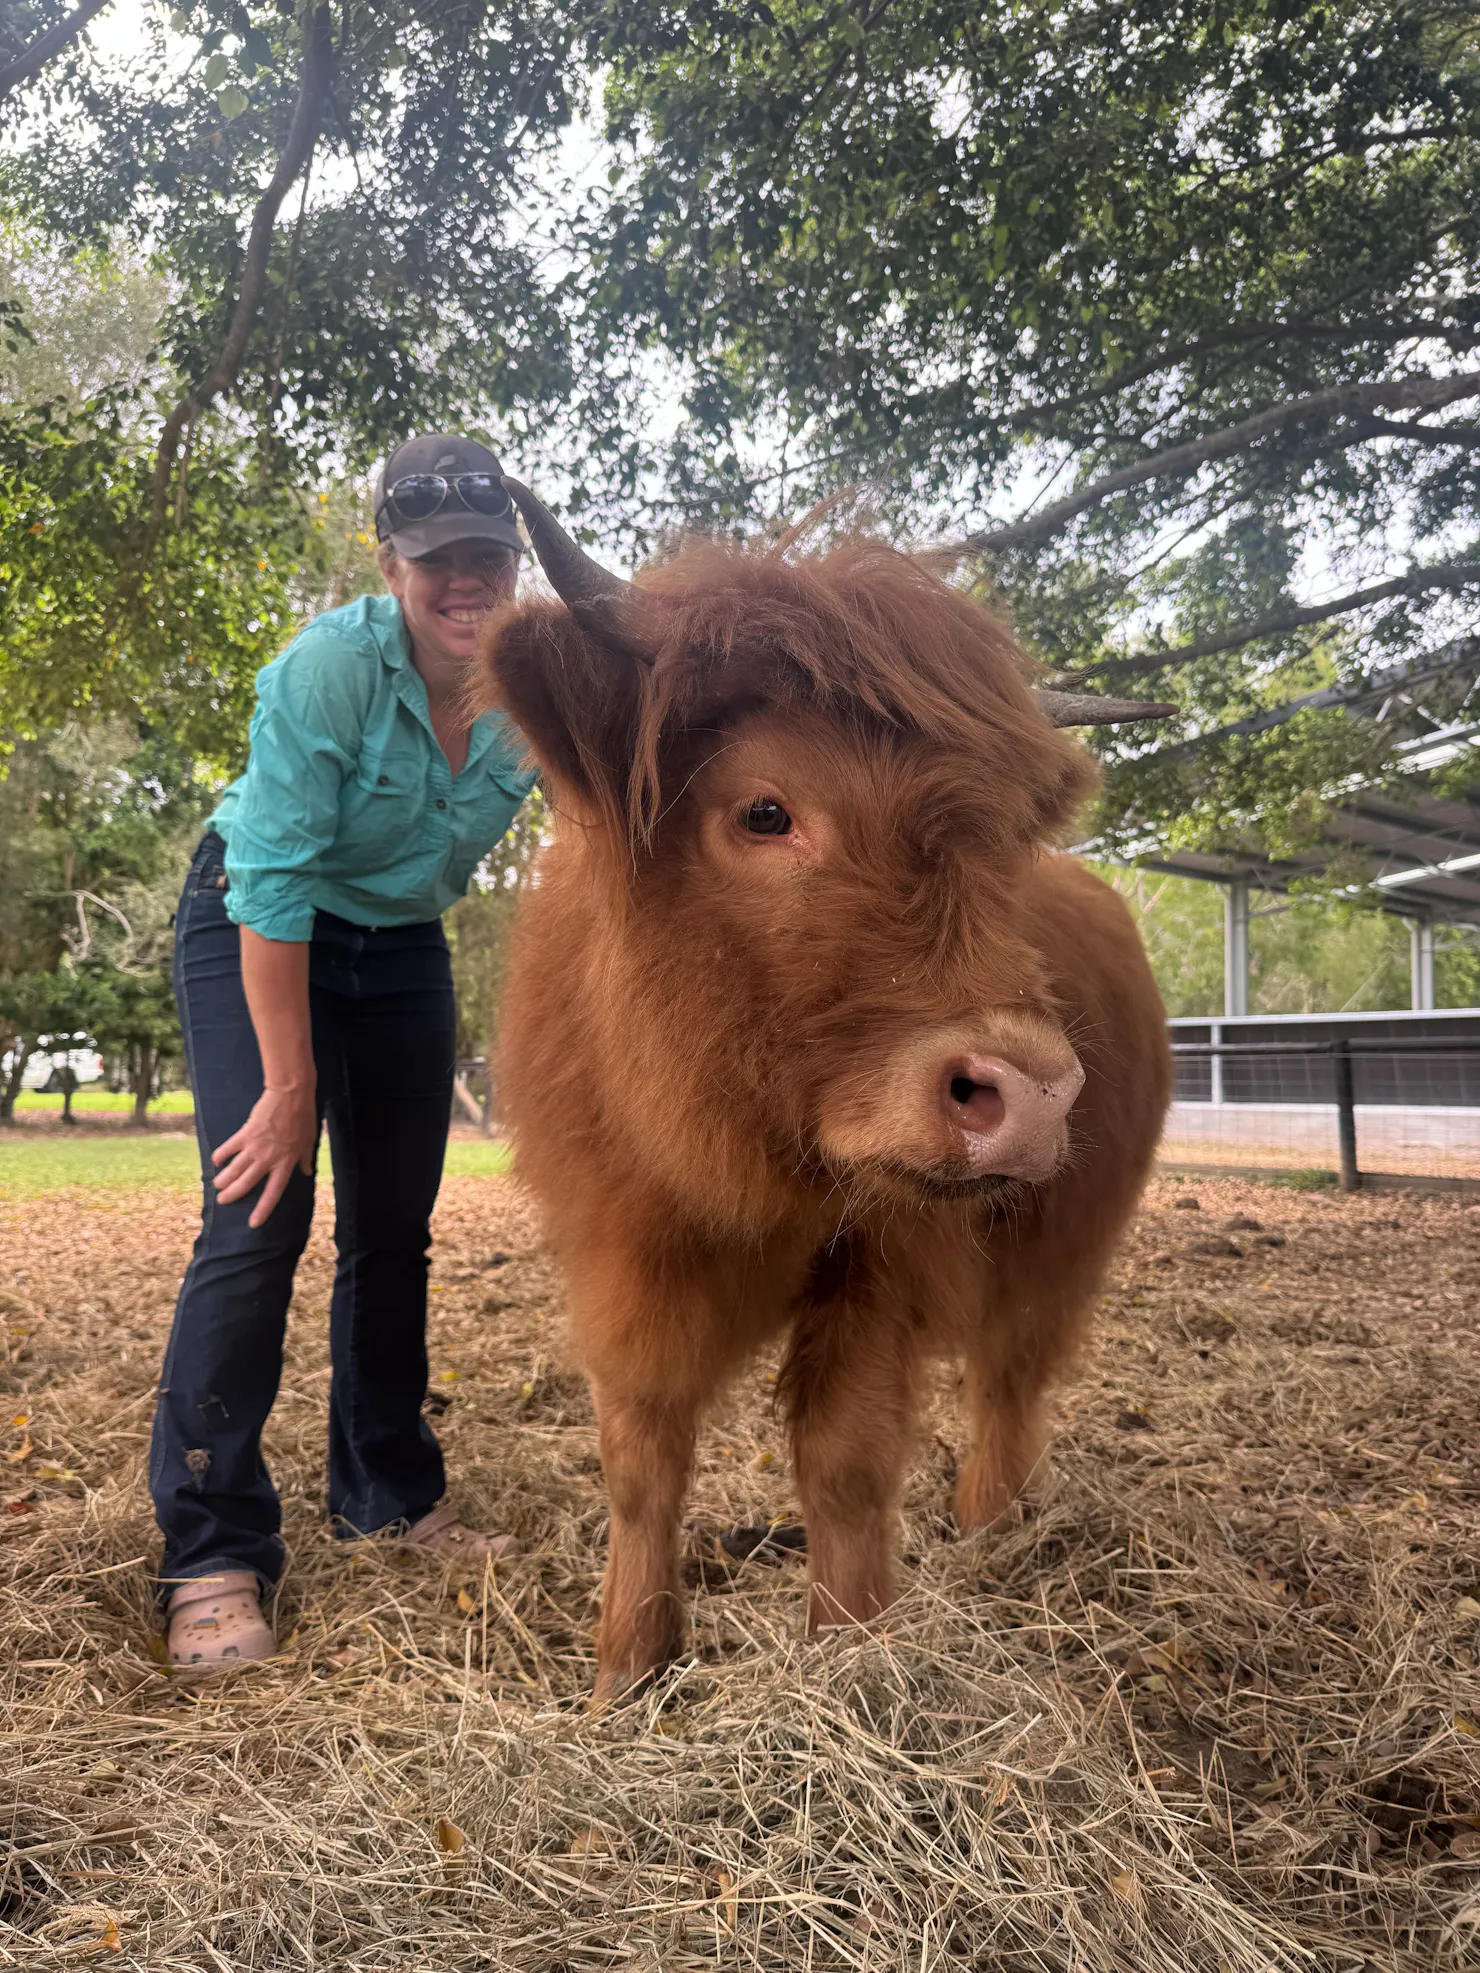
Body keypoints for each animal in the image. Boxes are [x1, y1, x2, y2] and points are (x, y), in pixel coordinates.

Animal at [481, 484, 1174, 1702]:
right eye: (766, 811)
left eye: (1001, 842)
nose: (1031, 1093)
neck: (746, 1156)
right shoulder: (620, 1249)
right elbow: (641, 1455)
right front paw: (628, 1668)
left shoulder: (888, 1259)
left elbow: (843, 1456)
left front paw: (851, 1647)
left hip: (1061, 1246)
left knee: (1010, 1379)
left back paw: (989, 1530)